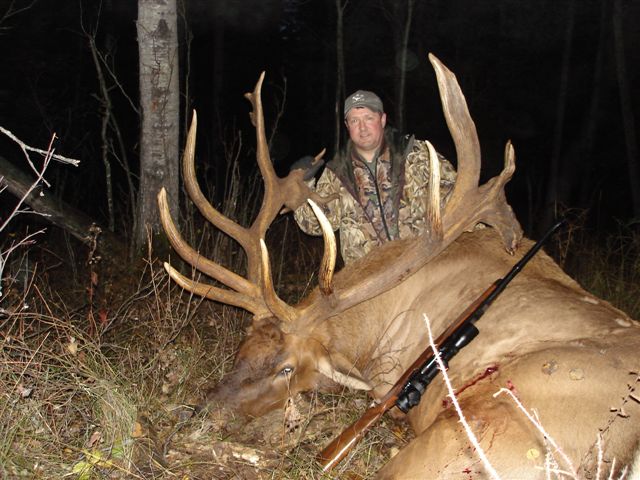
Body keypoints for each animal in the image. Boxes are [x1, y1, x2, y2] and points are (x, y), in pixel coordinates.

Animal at [157, 54, 640, 478]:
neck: (377, 323)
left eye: (286, 369)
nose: (199, 415)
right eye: (242, 347)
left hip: (475, 433)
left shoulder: (387, 379)